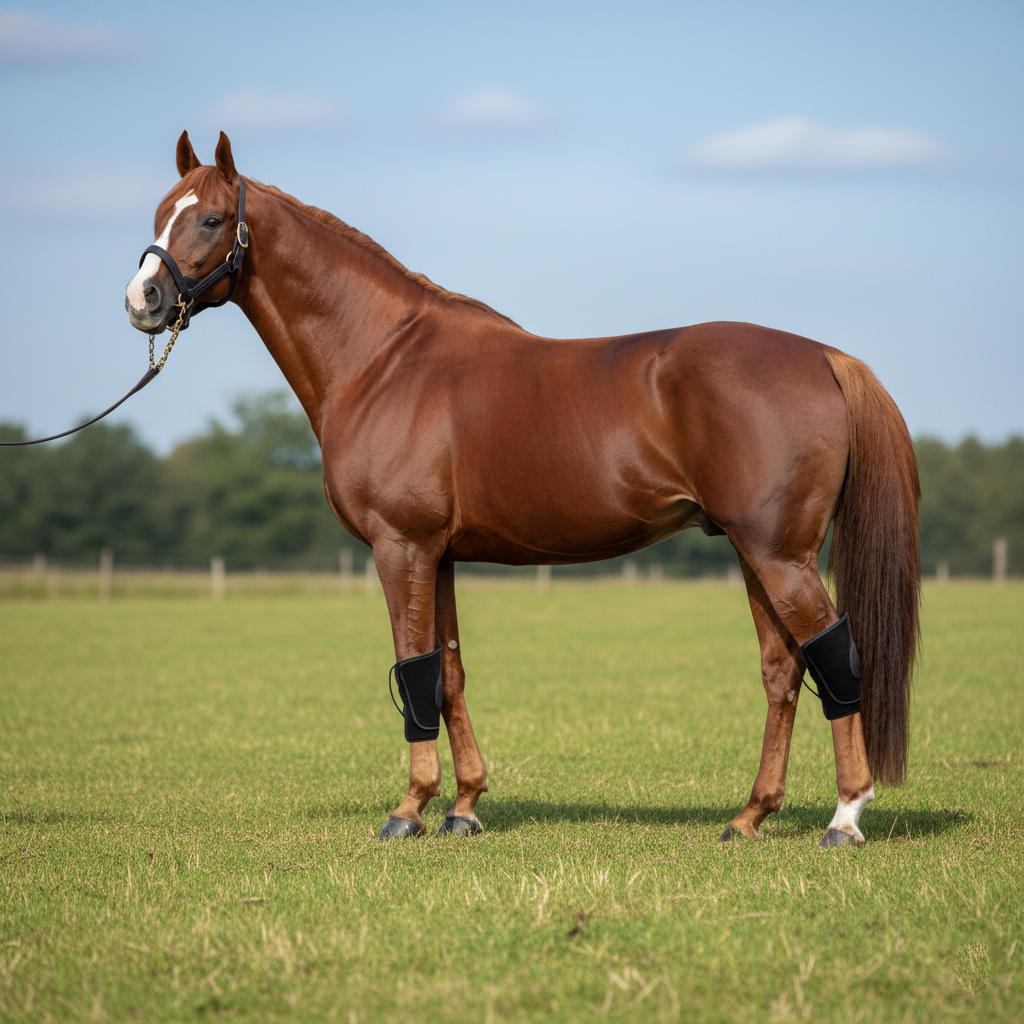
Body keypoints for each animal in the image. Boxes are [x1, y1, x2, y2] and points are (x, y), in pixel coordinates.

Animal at [126, 131, 920, 847]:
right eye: (160, 212)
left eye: (210, 218)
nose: (143, 298)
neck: (380, 358)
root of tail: (826, 357)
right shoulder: (439, 554)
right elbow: (447, 673)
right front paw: (465, 807)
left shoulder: (400, 547)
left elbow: (412, 669)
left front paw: (409, 809)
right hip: (759, 554)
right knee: (784, 669)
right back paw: (750, 817)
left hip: (779, 555)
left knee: (834, 655)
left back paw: (845, 817)